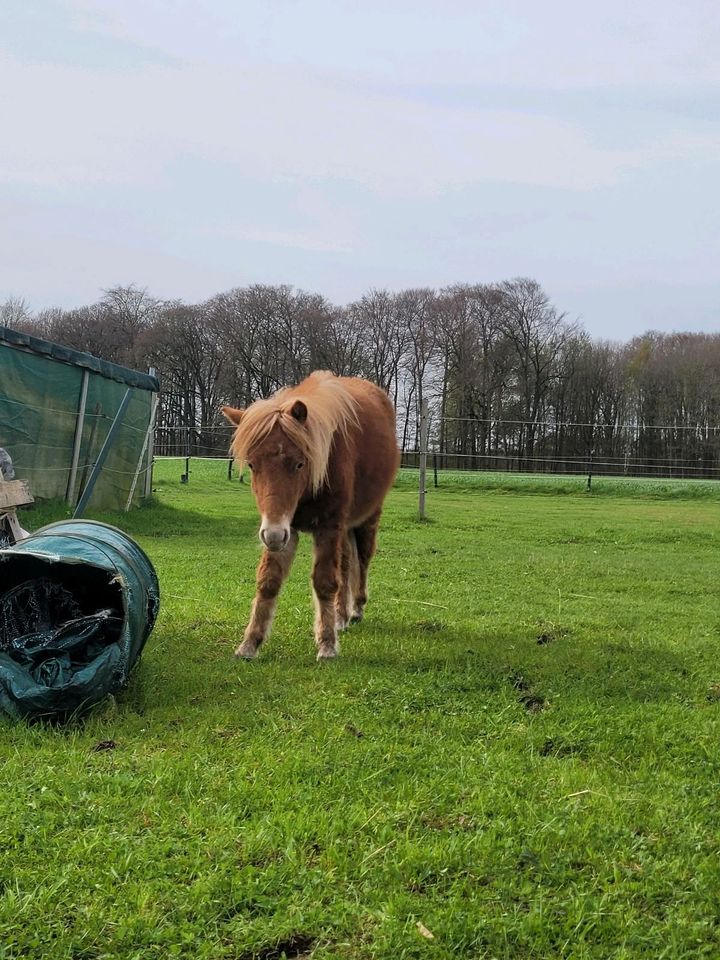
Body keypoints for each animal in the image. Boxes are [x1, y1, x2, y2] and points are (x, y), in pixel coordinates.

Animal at [221, 374, 400, 660]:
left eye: (299, 463)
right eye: (251, 464)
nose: (272, 535)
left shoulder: (327, 526)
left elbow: (325, 582)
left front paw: (327, 644)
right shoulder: (286, 528)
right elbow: (268, 581)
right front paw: (249, 644)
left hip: (367, 517)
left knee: (363, 559)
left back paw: (356, 609)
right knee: (346, 564)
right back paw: (341, 616)